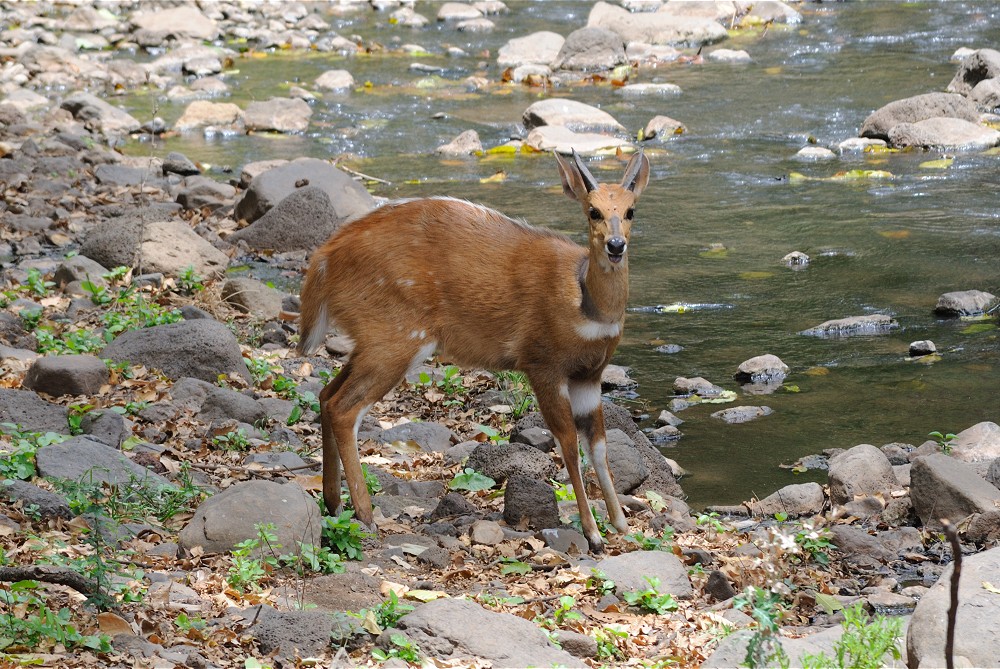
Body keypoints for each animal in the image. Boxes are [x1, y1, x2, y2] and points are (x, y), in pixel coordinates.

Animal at [296, 151, 652, 552]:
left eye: (630, 210)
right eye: (593, 211)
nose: (616, 245)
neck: (587, 308)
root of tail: (322, 263)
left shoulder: (589, 375)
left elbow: (600, 446)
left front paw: (622, 524)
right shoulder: (542, 363)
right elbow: (569, 445)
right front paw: (593, 534)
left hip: (371, 341)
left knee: (326, 394)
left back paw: (334, 502)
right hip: (396, 339)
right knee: (344, 408)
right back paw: (366, 516)